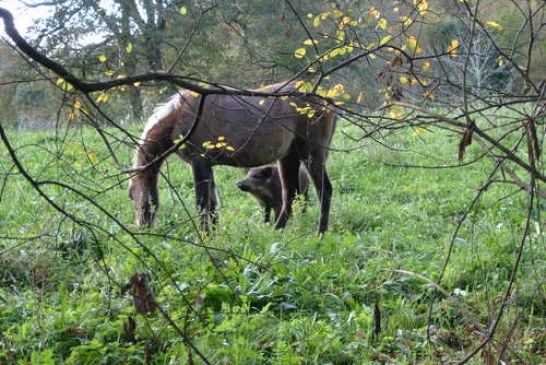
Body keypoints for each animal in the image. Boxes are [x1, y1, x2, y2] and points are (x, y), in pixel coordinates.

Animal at [127, 80, 336, 233]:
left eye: (133, 196)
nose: (141, 228)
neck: (180, 115)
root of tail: (324, 101)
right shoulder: (207, 166)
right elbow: (212, 205)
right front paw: (213, 236)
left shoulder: (198, 163)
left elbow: (203, 204)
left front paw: (205, 237)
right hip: (288, 157)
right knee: (289, 195)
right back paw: (276, 231)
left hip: (311, 154)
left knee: (324, 190)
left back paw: (321, 233)